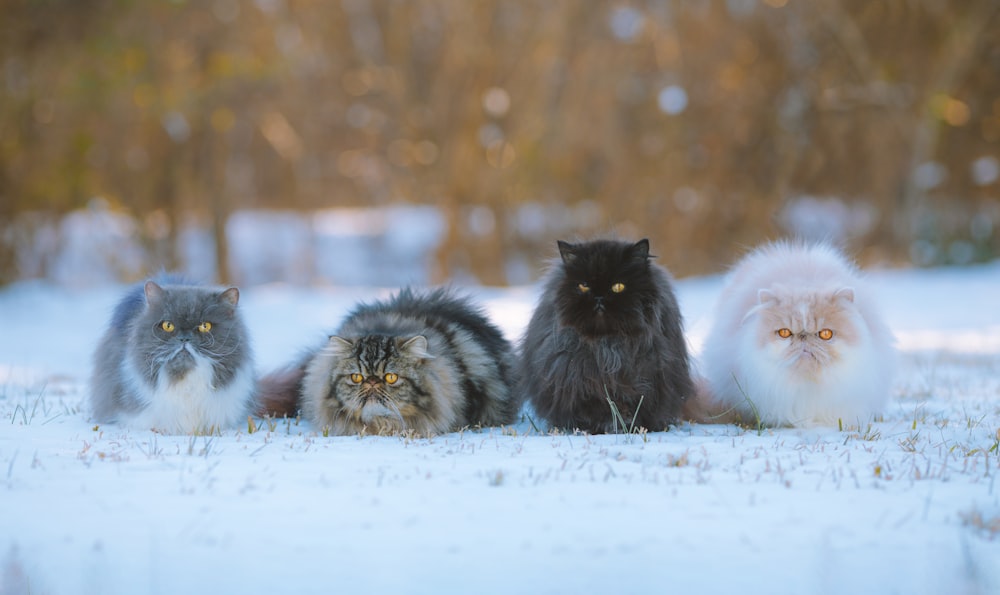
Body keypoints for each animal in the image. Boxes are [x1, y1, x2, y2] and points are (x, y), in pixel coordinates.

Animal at [516, 237, 696, 434]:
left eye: (618, 287)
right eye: (584, 286)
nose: (599, 298)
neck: (608, 346)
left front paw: (628, 426)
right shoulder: (579, 381)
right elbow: (599, 409)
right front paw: (607, 426)